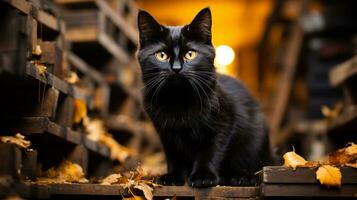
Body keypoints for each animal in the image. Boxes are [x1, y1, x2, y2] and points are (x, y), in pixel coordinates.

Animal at [136, 6, 272, 188]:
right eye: (162, 55)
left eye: (190, 54)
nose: (176, 68)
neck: (178, 100)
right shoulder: (166, 133)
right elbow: (174, 156)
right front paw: (173, 177)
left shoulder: (223, 123)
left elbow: (210, 151)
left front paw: (203, 176)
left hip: (256, 138)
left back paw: (242, 177)